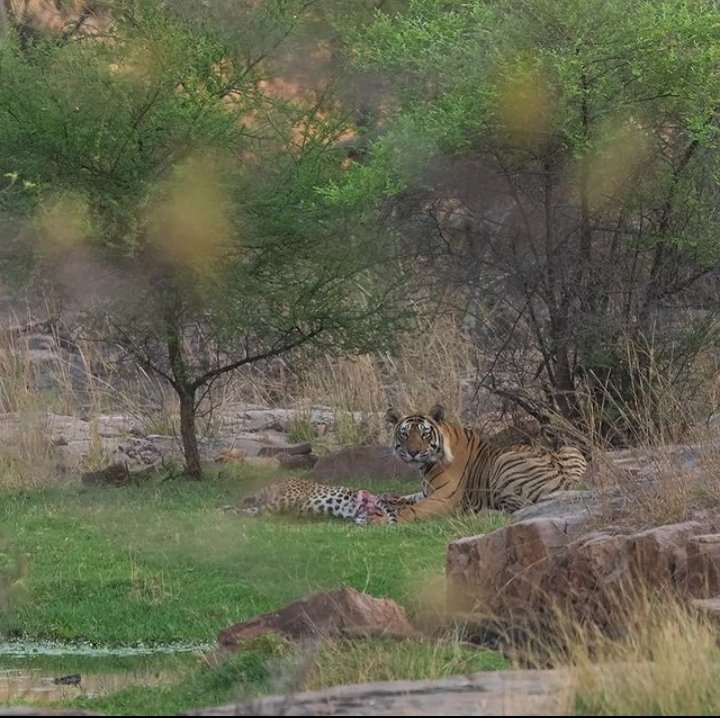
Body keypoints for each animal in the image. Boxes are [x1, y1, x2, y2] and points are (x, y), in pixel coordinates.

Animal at [373, 404, 587, 523]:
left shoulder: (443, 498)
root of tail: (568, 482)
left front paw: (380, 520)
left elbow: (411, 509)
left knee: (516, 508)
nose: (413, 452)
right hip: (567, 448)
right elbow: (405, 497)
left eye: (424, 434)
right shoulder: (427, 492)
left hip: (504, 462)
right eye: (405, 434)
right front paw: (382, 499)